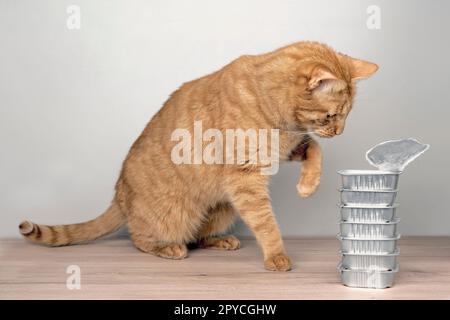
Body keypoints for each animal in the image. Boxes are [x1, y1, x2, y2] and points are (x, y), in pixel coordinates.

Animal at [20, 41, 376, 272]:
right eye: (332, 116)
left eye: (346, 116)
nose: (340, 131)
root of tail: (119, 195)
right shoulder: (245, 179)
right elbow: (266, 222)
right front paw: (276, 255)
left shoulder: (285, 149)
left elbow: (316, 149)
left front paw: (308, 186)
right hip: (176, 214)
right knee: (141, 238)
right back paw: (167, 247)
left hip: (224, 207)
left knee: (199, 237)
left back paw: (220, 241)